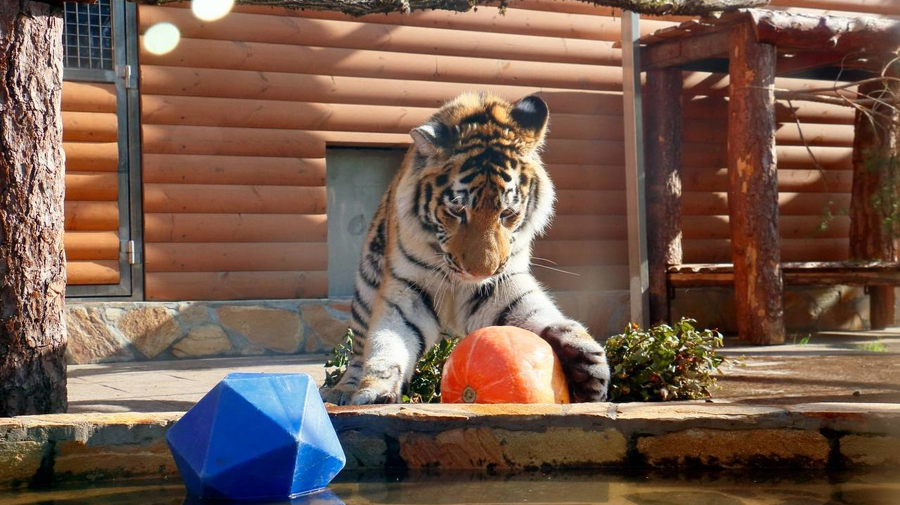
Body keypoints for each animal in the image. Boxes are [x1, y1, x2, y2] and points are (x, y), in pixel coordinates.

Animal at [320, 92, 610, 405]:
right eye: (457, 210)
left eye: (507, 213)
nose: (479, 273)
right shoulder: (407, 289)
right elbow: (388, 338)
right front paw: (376, 390)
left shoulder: (498, 285)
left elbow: (534, 310)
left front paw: (582, 362)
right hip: (366, 284)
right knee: (358, 349)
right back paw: (341, 390)